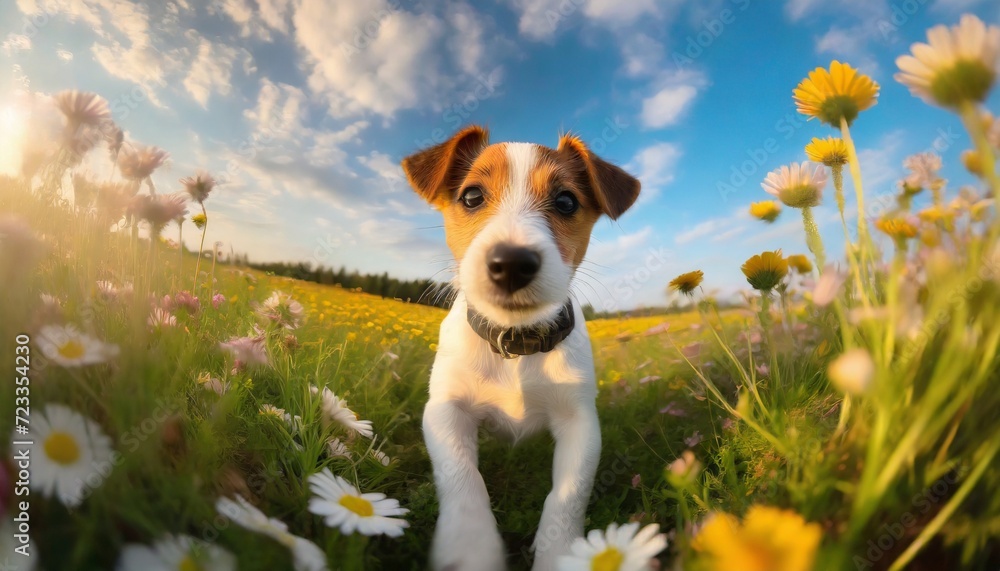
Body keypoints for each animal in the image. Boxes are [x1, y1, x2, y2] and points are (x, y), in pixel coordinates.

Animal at [400, 126, 640, 571]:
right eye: (472, 196)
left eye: (565, 201)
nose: (511, 262)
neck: (516, 343)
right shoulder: (445, 409)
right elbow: (463, 477)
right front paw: (470, 548)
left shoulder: (580, 421)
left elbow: (568, 494)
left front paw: (561, 554)